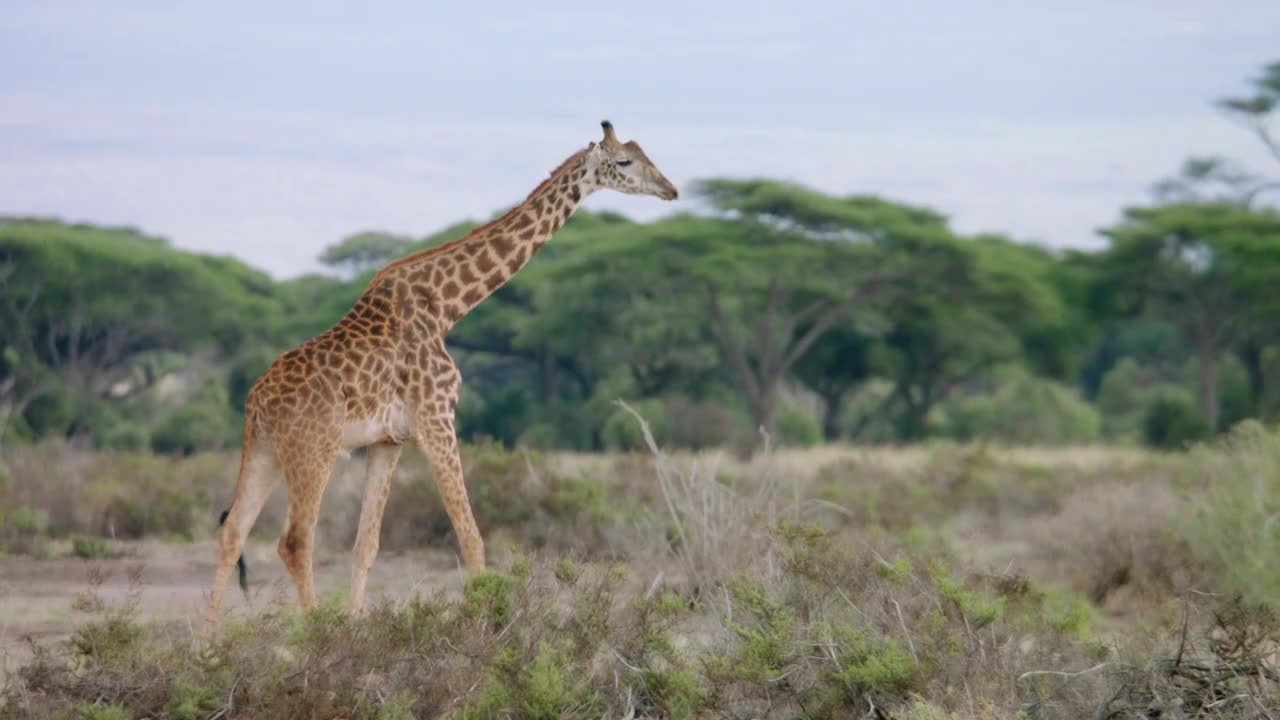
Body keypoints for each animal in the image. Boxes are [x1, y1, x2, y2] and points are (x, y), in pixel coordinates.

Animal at [200, 120, 680, 630]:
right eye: (624, 161)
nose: (670, 189)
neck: (447, 306)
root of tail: (255, 402)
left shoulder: (388, 441)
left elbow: (366, 546)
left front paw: (354, 627)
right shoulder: (437, 420)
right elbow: (471, 538)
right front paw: (489, 624)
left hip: (266, 451)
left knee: (232, 531)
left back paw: (208, 643)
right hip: (314, 449)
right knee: (295, 541)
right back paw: (311, 633)